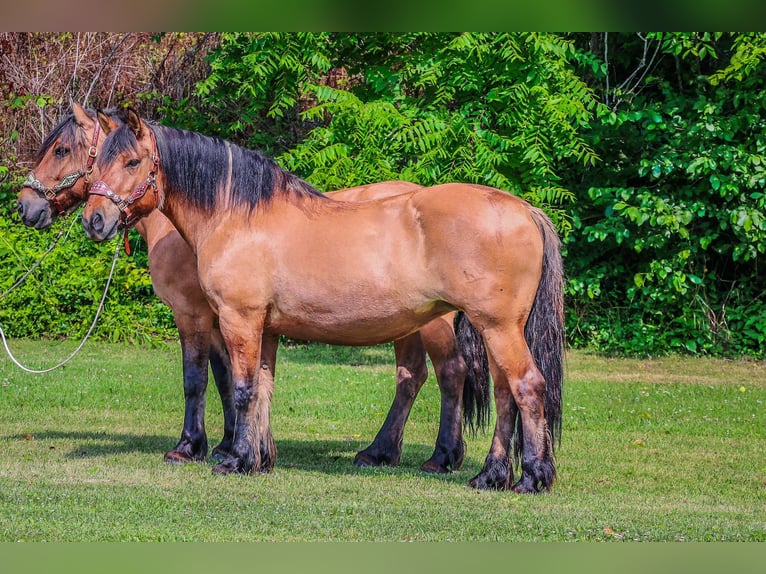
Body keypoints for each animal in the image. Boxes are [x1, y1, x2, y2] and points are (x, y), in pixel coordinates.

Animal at [80, 108, 564, 493]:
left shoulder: (238, 320)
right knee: (502, 393)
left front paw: (234, 460)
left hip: (496, 328)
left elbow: (240, 388)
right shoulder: (267, 328)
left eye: (132, 161)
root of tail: (524, 210)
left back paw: (530, 477)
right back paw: (489, 475)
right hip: (490, 329)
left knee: (525, 386)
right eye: (97, 161)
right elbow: (263, 388)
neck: (237, 216)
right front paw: (258, 459)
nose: (94, 220)